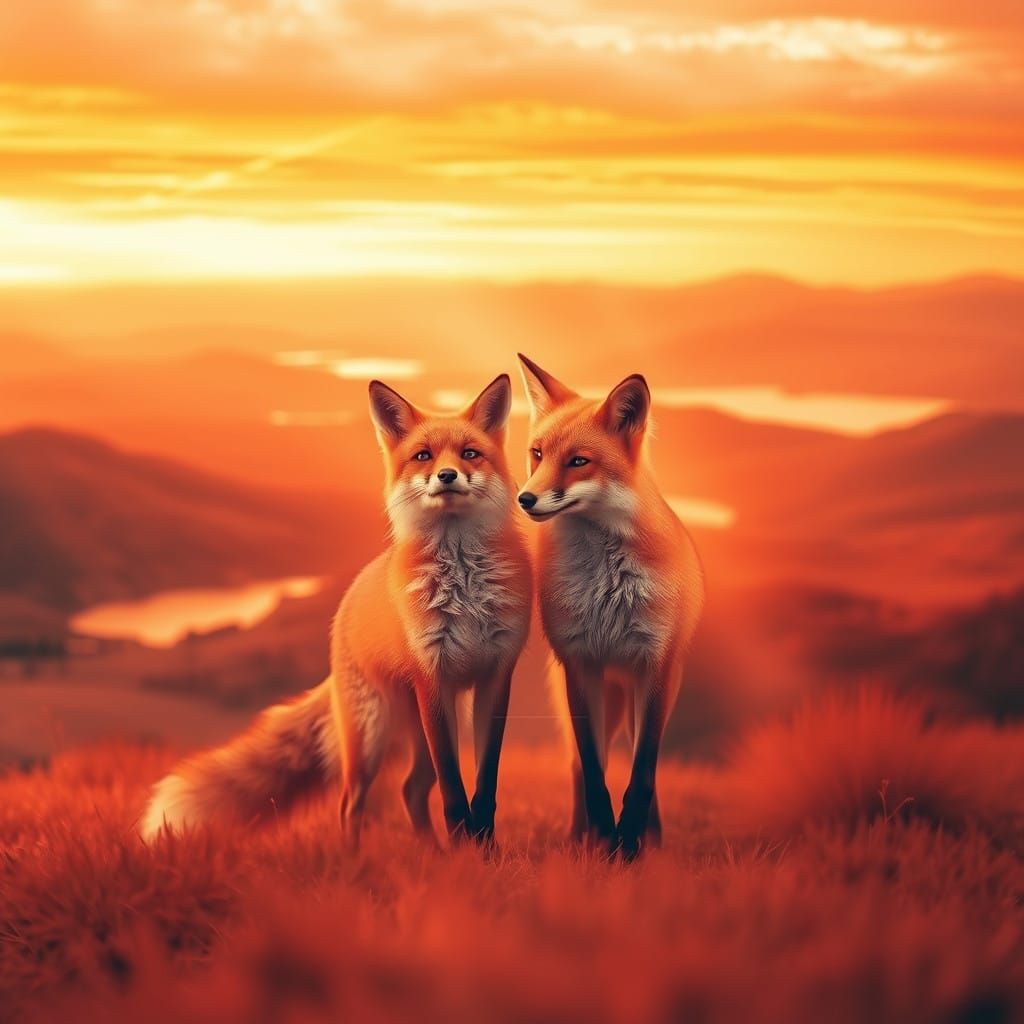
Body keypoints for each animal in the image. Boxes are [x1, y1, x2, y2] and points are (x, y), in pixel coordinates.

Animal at [142, 373, 532, 847]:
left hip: (417, 728)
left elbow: (484, 788)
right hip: (372, 739)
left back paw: (432, 854)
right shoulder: (433, 680)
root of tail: (346, 605)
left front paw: (483, 851)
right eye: (423, 455)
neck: (464, 588)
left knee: (411, 789)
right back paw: (356, 859)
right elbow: (455, 795)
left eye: (470, 453)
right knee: (352, 805)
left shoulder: (495, 677)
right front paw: (466, 849)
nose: (447, 474)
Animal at [515, 354, 704, 859]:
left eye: (579, 461)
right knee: (578, 768)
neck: (607, 589)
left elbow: (642, 774)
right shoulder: (580, 665)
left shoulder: (655, 666)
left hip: (649, 693)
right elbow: (595, 773)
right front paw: (604, 840)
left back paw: (651, 838)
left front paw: (631, 844)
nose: (524, 498)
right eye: (537, 454)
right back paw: (579, 837)